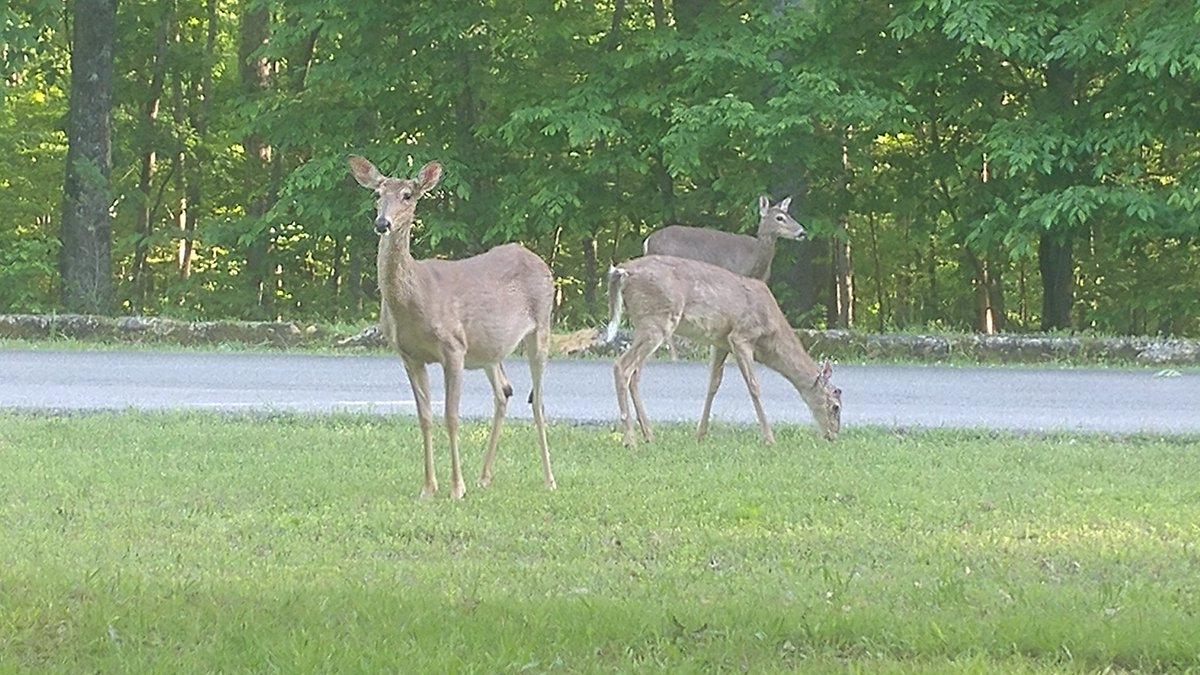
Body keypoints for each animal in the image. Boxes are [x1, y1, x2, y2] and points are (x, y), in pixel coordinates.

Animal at [349, 155, 556, 500]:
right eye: (377, 194)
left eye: (408, 195)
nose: (382, 223)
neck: (414, 299)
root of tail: (541, 262)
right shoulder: (409, 355)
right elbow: (425, 417)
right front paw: (428, 488)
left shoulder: (454, 347)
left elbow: (451, 416)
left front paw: (457, 488)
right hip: (489, 350)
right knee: (504, 392)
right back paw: (484, 476)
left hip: (541, 326)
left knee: (538, 400)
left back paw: (549, 479)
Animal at [604, 254, 841, 447]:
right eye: (835, 406)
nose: (833, 436)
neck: (771, 337)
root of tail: (623, 271)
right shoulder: (741, 336)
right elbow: (754, 386)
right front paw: (769, 438)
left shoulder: (720, 343)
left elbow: (713, 385)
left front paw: (699, 435)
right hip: (657, 320)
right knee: (622, 367)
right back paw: (630, 440)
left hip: (646, 323)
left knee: (635, 375)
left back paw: (649, 435)